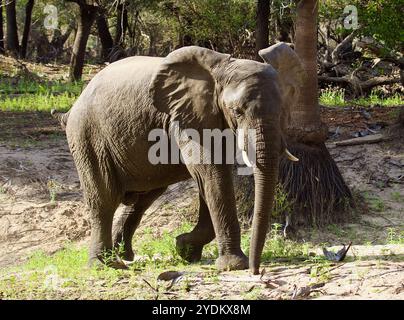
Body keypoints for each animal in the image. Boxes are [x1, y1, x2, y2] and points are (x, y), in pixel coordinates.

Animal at [51, 42, 304, 276]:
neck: (222, 70)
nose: (256, 271)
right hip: (87, 136)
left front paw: (185, 249)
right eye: (237, 111)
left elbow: (211, 180)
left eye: (283, 109)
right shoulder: (186, 118)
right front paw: (232, 265)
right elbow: (212, 175)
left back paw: (124, 255)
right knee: (104, 198)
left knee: (144, 198)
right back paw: (105, 264)